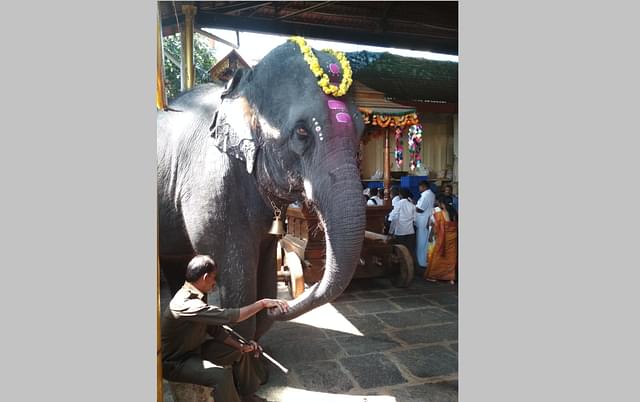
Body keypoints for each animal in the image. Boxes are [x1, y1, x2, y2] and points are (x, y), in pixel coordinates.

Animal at [159, 40, 364, 340]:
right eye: (302, 132)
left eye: (361, 131)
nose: (279, 306)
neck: (242, 86)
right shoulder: (210, 186)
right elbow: (237, 285)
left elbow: (265, 264)